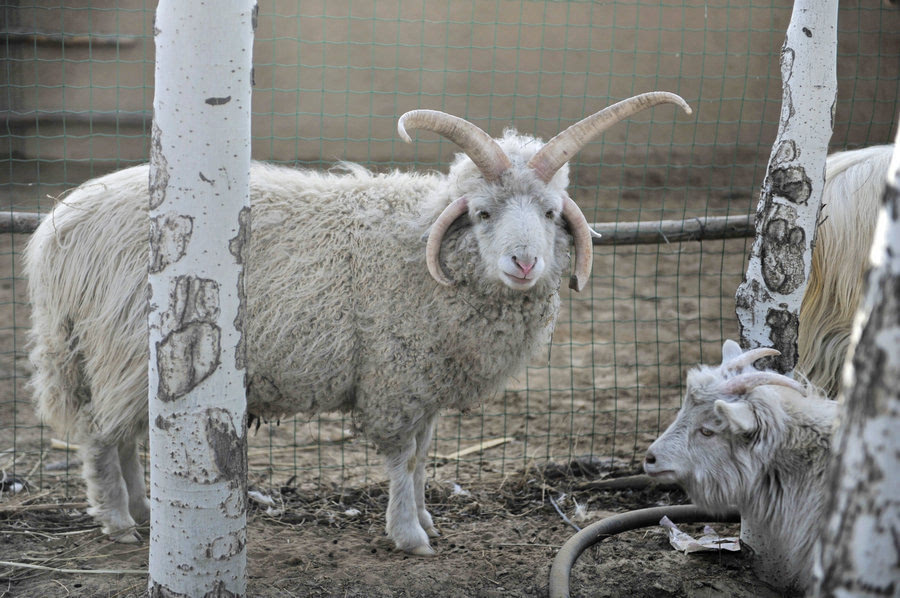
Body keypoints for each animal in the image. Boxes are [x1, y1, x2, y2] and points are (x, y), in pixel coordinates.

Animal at [26, 91, 688, 556]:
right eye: (482, 213)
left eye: (551, 213)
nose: (524, 263)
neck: (420, 246)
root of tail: (57, 230)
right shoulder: (395, 375)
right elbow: (400, 458)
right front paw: (408, 535)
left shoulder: (426, 380)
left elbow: (423, 456)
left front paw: (425, 518)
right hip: (120, 343)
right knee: (102, 435)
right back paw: (118, 521)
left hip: (120, 353)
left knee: (126, 431)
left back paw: (142, 509)